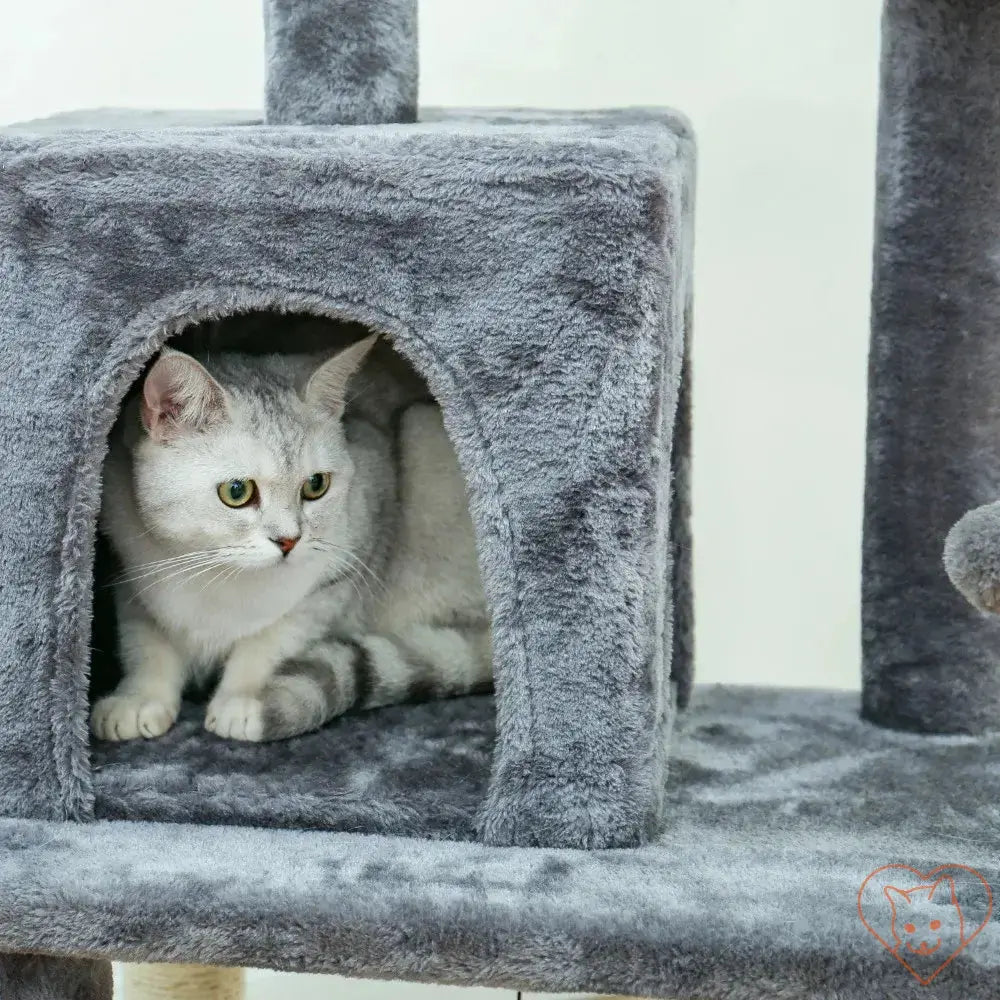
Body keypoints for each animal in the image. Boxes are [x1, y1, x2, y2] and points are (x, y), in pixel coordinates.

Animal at [92, 336, 490, 744]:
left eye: (316, 485)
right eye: (237, 491)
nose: (289, 541)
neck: (219, 575)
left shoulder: (344, 567)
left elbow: (272, 641)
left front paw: (245, 699)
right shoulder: (129, 574)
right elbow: (145, 644)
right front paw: (140, 697)